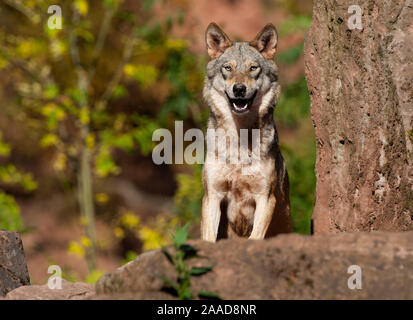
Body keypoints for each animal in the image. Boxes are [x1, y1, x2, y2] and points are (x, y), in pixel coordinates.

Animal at [201, 22, 292, 241]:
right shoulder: (213, 196)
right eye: (228, 68)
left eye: (253, 68)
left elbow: (256, 237)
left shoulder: (265, 198)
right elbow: (208, 238)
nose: (239, 89)